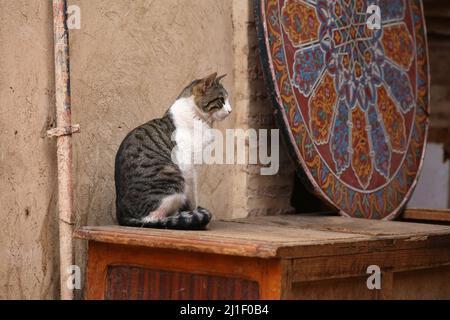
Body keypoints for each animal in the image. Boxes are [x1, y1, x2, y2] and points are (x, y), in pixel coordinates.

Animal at [114, 72, 232, 230]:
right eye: (221, 100)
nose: (230, 110)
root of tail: (122, 216)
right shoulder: (188, 166)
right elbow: (193, 196)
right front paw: (193, 212)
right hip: (174, 179)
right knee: (151, 218)